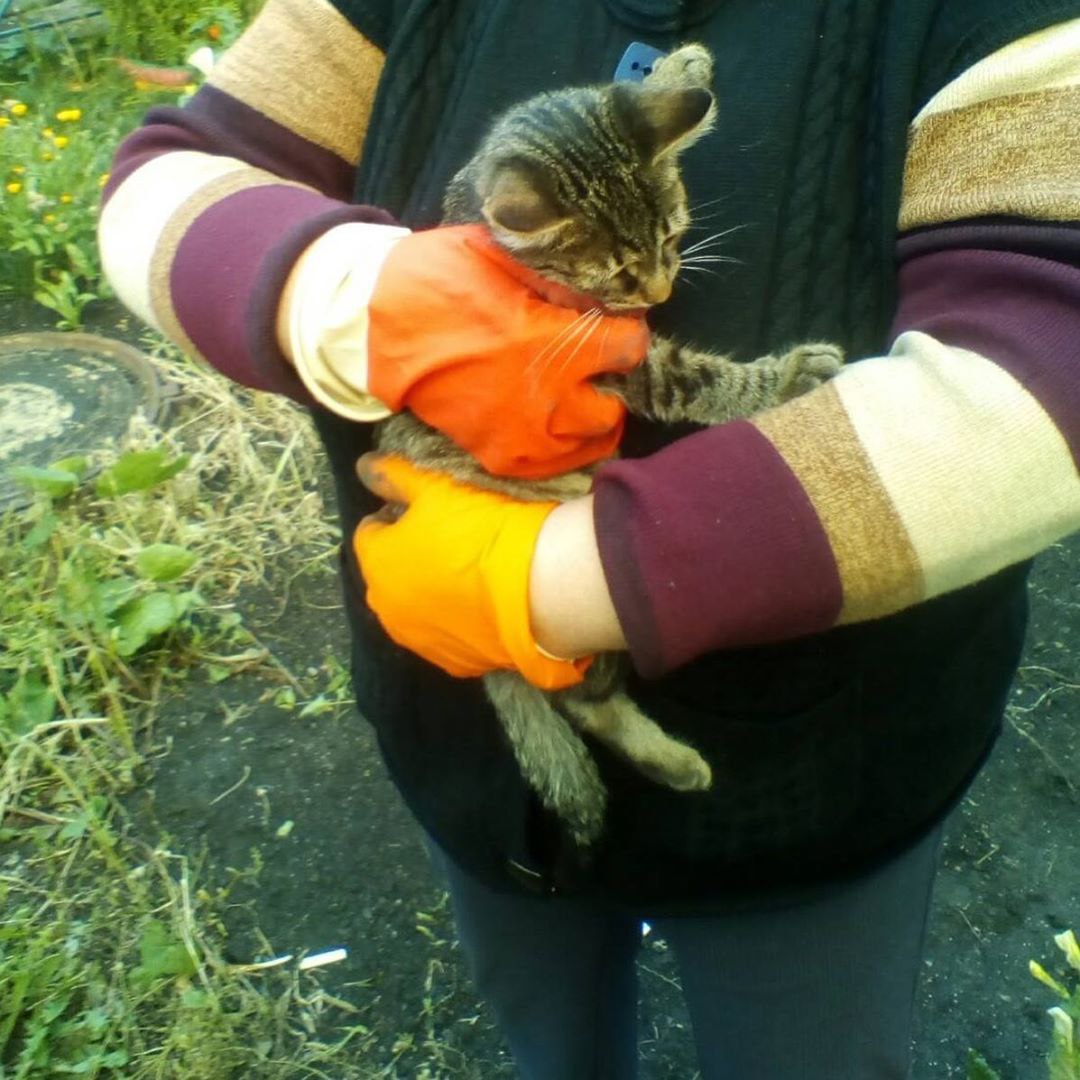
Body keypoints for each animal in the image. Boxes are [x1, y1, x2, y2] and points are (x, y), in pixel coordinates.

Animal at [375, 46, 838, 846]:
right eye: (620, 273)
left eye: (672, 237)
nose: (657, 294)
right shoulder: (620, 363)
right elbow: (697, 381)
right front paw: (784, 378)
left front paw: (681, 70)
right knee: (570, 697)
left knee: (588, 702)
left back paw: (672, 763)